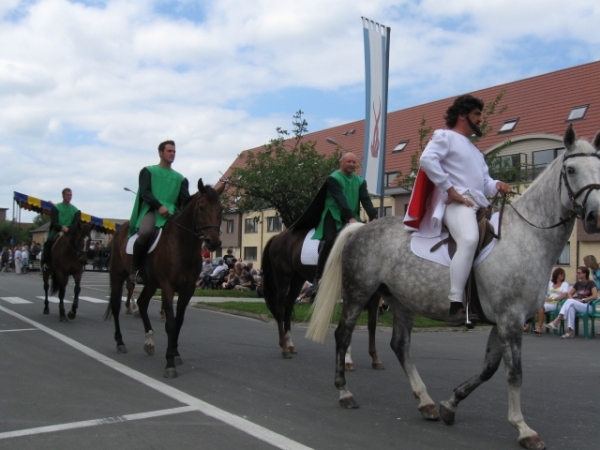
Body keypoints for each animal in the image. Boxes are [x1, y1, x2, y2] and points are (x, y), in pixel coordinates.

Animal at [104, 181, 224, 378]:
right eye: (201, 207)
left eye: (221, 209)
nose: (213, 242)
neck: (181, 245)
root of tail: (120, 229)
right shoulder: (168, 286)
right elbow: (170, 323)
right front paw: (170, 364)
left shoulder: (188, 289)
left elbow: (179, 321)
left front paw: (175, 354)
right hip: (118, 275)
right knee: (115, 305)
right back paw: (120, 342)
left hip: (151, 283)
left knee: (142, 303)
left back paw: (149, 341)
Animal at [262, 225, 384, 370]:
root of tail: (278, 237)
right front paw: (347, 360)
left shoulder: (375, 296)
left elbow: (372, 325)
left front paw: (375, 359)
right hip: (283, 279)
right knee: (280, 310)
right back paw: (285, 349)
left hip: (297, 280)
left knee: (288, 306)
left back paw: (289, 344)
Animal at [308, 124, 600, 450]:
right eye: (571, 170)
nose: (595, 216)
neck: (526, 237)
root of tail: (361, 227)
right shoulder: (510, 319)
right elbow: (514, 373)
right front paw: (523, 429)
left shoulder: (503, 321)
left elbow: (488, 369)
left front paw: (451, 404)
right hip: (358, 293)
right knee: (343, 335)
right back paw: (345, 393)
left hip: (401, 301)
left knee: (400, 345)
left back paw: (426, 402)